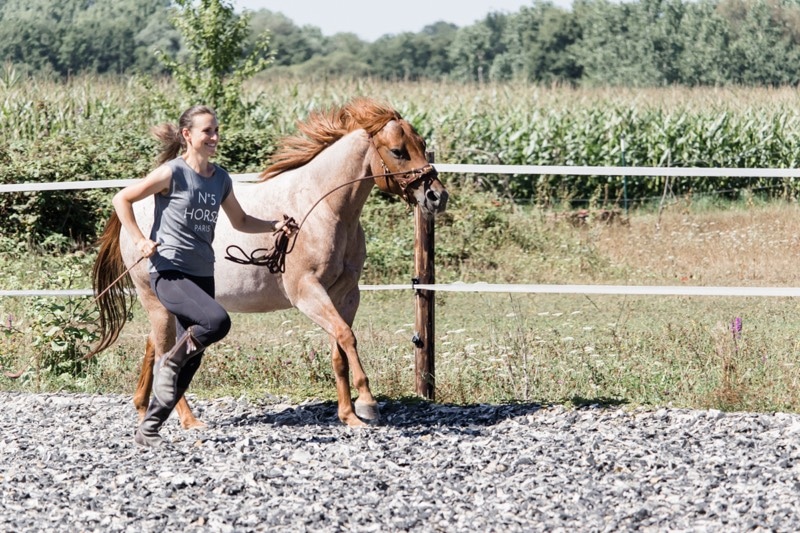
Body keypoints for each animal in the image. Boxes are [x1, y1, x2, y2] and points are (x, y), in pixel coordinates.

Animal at [90, 98, 450, 428]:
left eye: (422, 145)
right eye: (398, 151)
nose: (437, 196)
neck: (322, 208)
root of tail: (135, 207)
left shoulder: (346, 294)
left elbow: (340, 350)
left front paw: (349, 415)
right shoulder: (307, 293)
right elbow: (347, 337)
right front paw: (368, 403)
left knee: (158, 346)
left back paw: (143, 408)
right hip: (156, 299)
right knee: (166, 352)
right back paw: (188, 420)